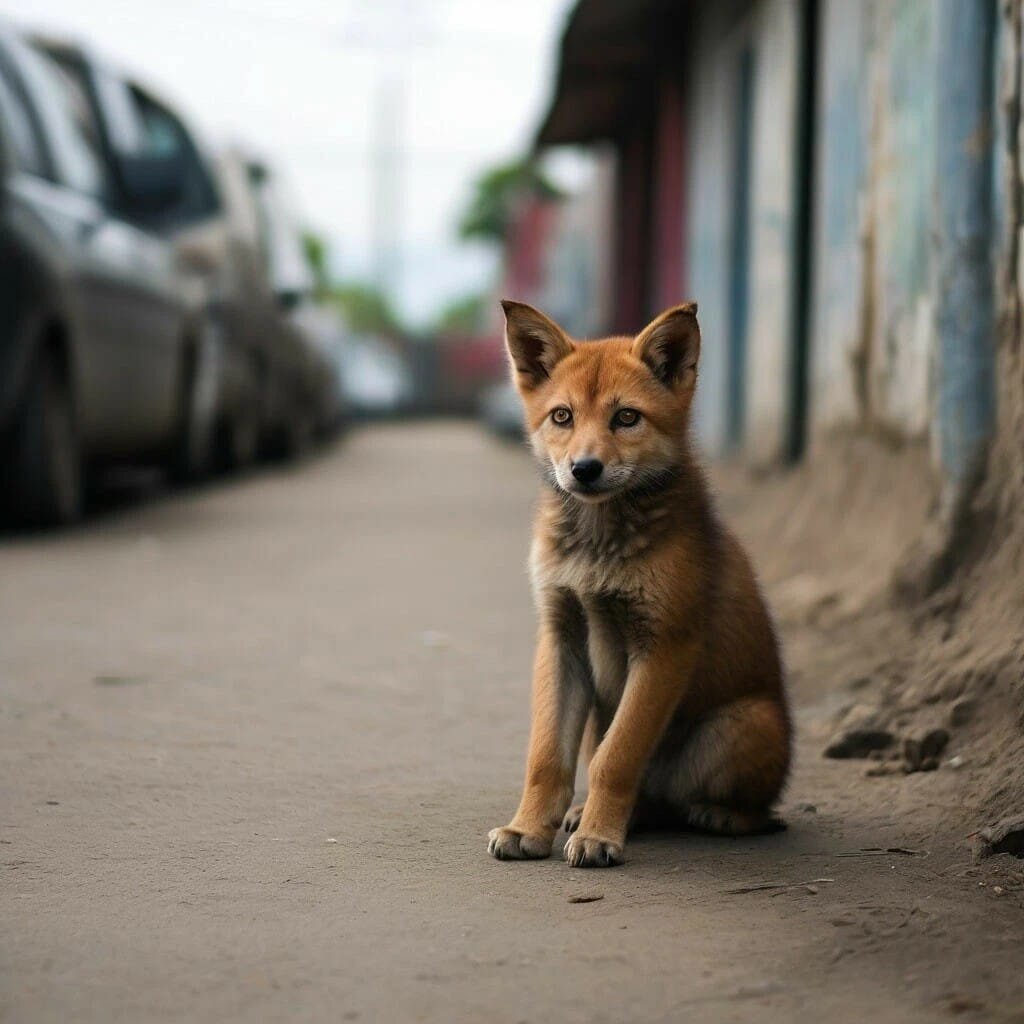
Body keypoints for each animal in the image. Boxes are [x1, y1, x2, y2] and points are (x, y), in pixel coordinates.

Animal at [487, 299, 790, 868]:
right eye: (562, 416)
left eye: (626, 417)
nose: (584, 469)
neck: (598, 549)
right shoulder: (561, 638)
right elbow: (546, 758)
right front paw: (528, 828)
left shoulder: (664, 645)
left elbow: (618, 758)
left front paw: (600, 836)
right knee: (647, 797)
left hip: (745, 723)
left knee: (750, 811)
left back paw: (716, 816)